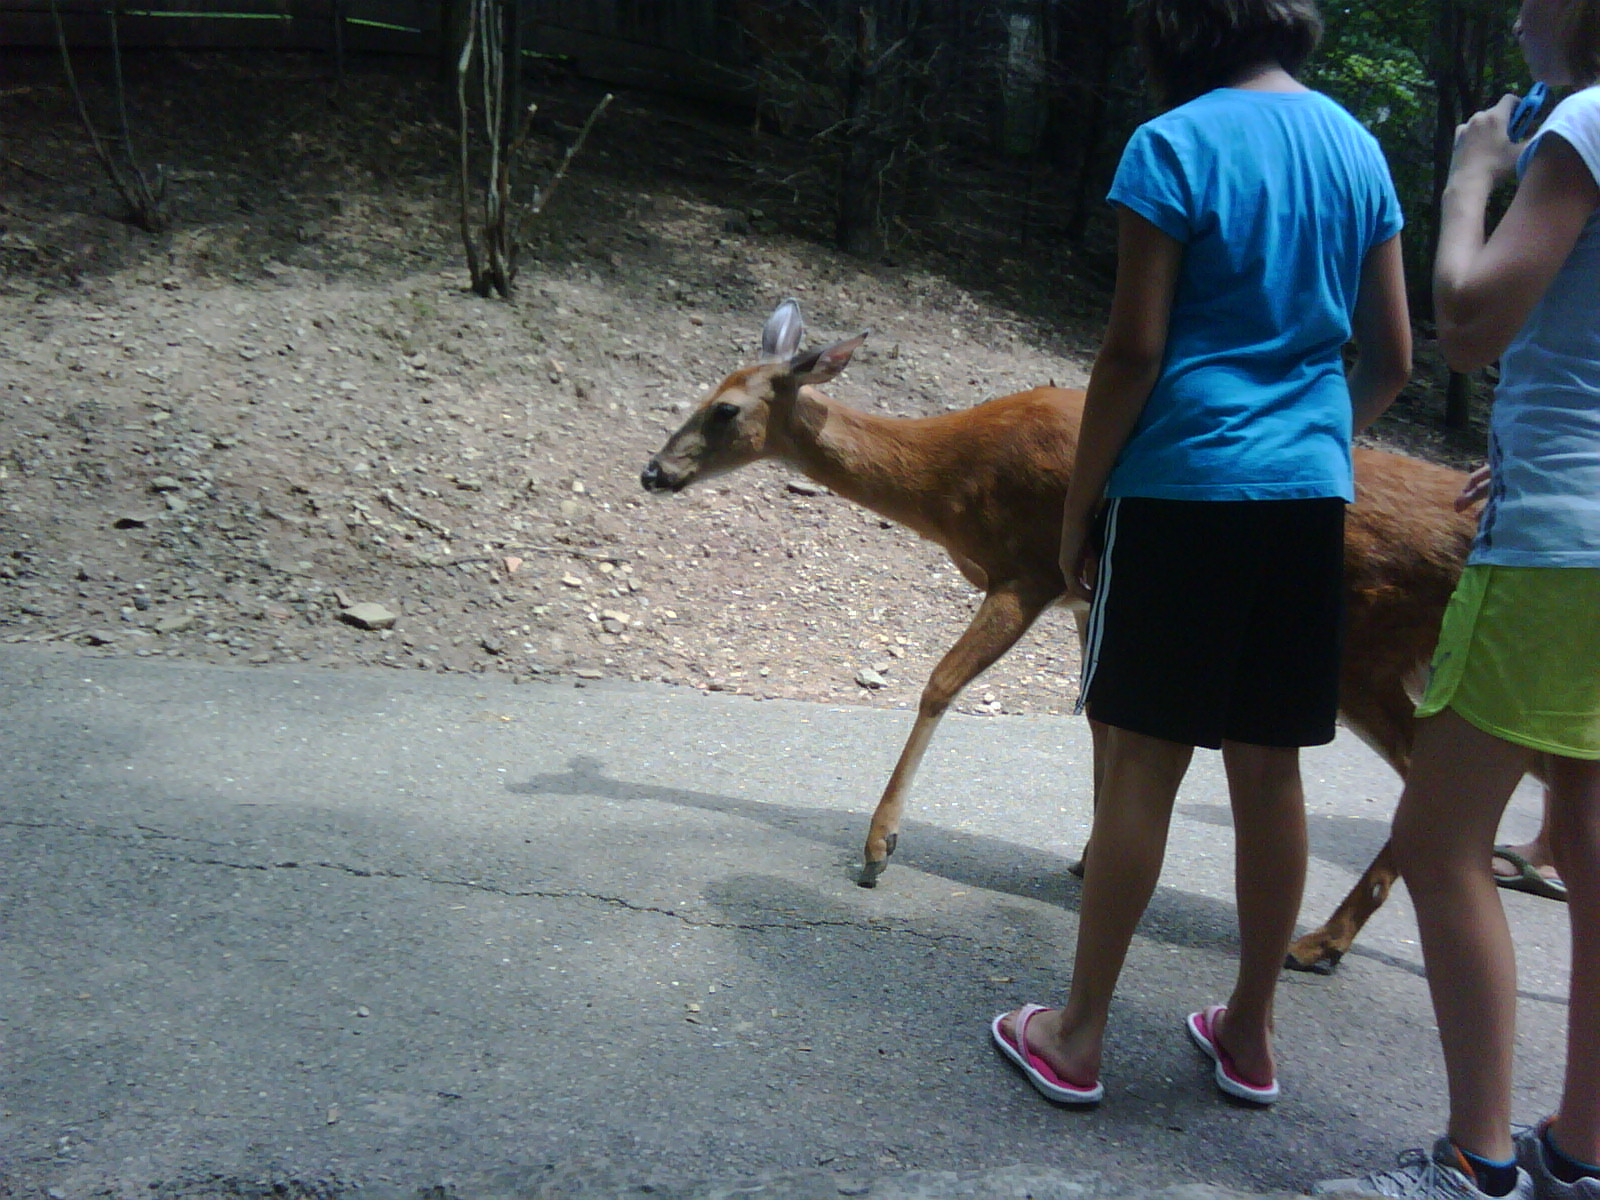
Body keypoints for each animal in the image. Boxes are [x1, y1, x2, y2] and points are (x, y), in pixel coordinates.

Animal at [640, 297, 1517, 973]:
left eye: (725, 409)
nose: (653, 472)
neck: (952, 481)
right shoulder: (1086, 597)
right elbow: (1098, 718)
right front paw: (1095, 853)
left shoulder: (1029, 570)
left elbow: (940, 683)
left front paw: (878, 847)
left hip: (1364, 650)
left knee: (1427, 769)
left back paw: (1322, 940)